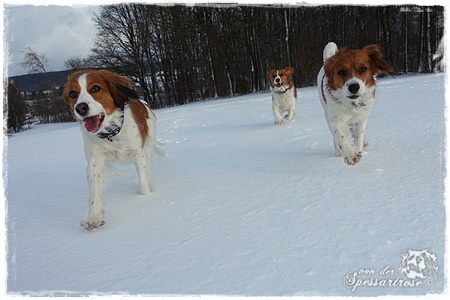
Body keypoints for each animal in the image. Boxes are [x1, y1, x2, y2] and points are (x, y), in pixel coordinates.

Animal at [62, 69, 162, 230]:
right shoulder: (94, 160)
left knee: (147, 169)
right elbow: (94, 191)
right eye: (72, 94)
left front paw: (145, 197)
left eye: (95, 88)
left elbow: (143, 180)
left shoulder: (138, 153)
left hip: (147, 145)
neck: (111, 133)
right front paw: (94, 217)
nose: (80, 108)